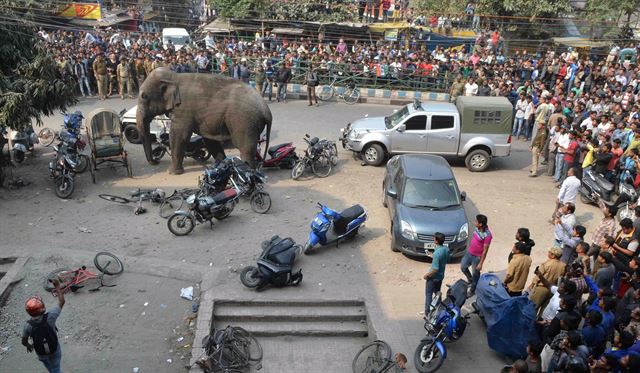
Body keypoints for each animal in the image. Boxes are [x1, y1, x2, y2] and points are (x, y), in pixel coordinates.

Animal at [136, 67, 272, 174]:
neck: (174, 77)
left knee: (244, 146)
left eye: (144, 96)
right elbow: (209, 139)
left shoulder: (184, 110)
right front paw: (220, 167)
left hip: (244, 121)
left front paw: (173, 172)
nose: (155, 162)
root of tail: (267, 110)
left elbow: (178, 136)